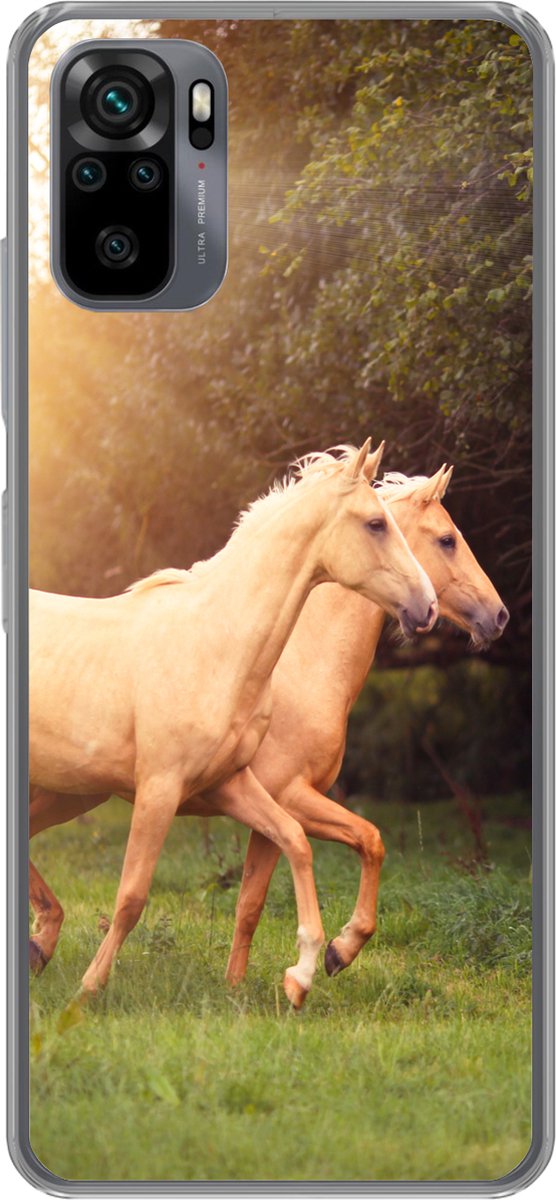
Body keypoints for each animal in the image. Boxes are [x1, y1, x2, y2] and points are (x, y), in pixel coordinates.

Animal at [29, 440, 437, 1006]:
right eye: (376, 524)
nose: (429, 607)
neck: (218, 644)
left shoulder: (232, 784)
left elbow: (295, 842)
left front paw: (305, 971)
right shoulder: (160, 789)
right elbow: (132, 897)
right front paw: (88, 990)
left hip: (68, 791)